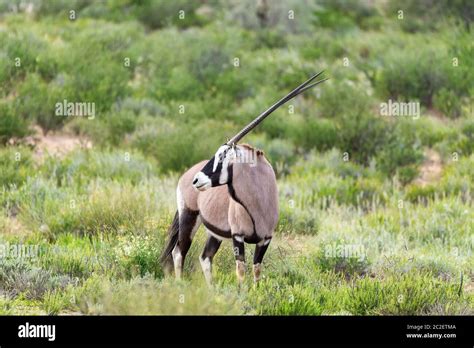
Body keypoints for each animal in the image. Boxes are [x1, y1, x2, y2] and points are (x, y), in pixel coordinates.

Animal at [161, 71, 328, 286]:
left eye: (223, 155)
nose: (197, 180)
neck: (258, 200)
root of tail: (186, 173)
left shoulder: (265, 239)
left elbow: (256, 270)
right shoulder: (238, 237)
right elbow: (241, 270)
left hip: (213, 233)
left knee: (205, 257)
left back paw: (211, 289)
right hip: (188, 217)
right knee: (179, 251)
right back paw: (180, 285)